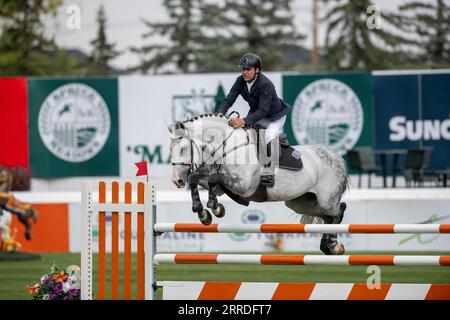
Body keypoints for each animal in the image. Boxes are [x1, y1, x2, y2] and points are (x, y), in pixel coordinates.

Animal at [169, 112, 348, 255]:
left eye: (183, 148)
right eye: (171, 148)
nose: (177, 180)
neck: (229, 146)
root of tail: (337, 156)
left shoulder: (244, 185)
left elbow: (214, 179)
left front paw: (215, 209)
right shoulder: (220, 185)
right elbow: (197, 179)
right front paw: (205, 213)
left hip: (326, 200)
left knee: (338, 212)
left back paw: (333, 246)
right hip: (300, 202)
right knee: (327, 217)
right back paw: (328, 247)